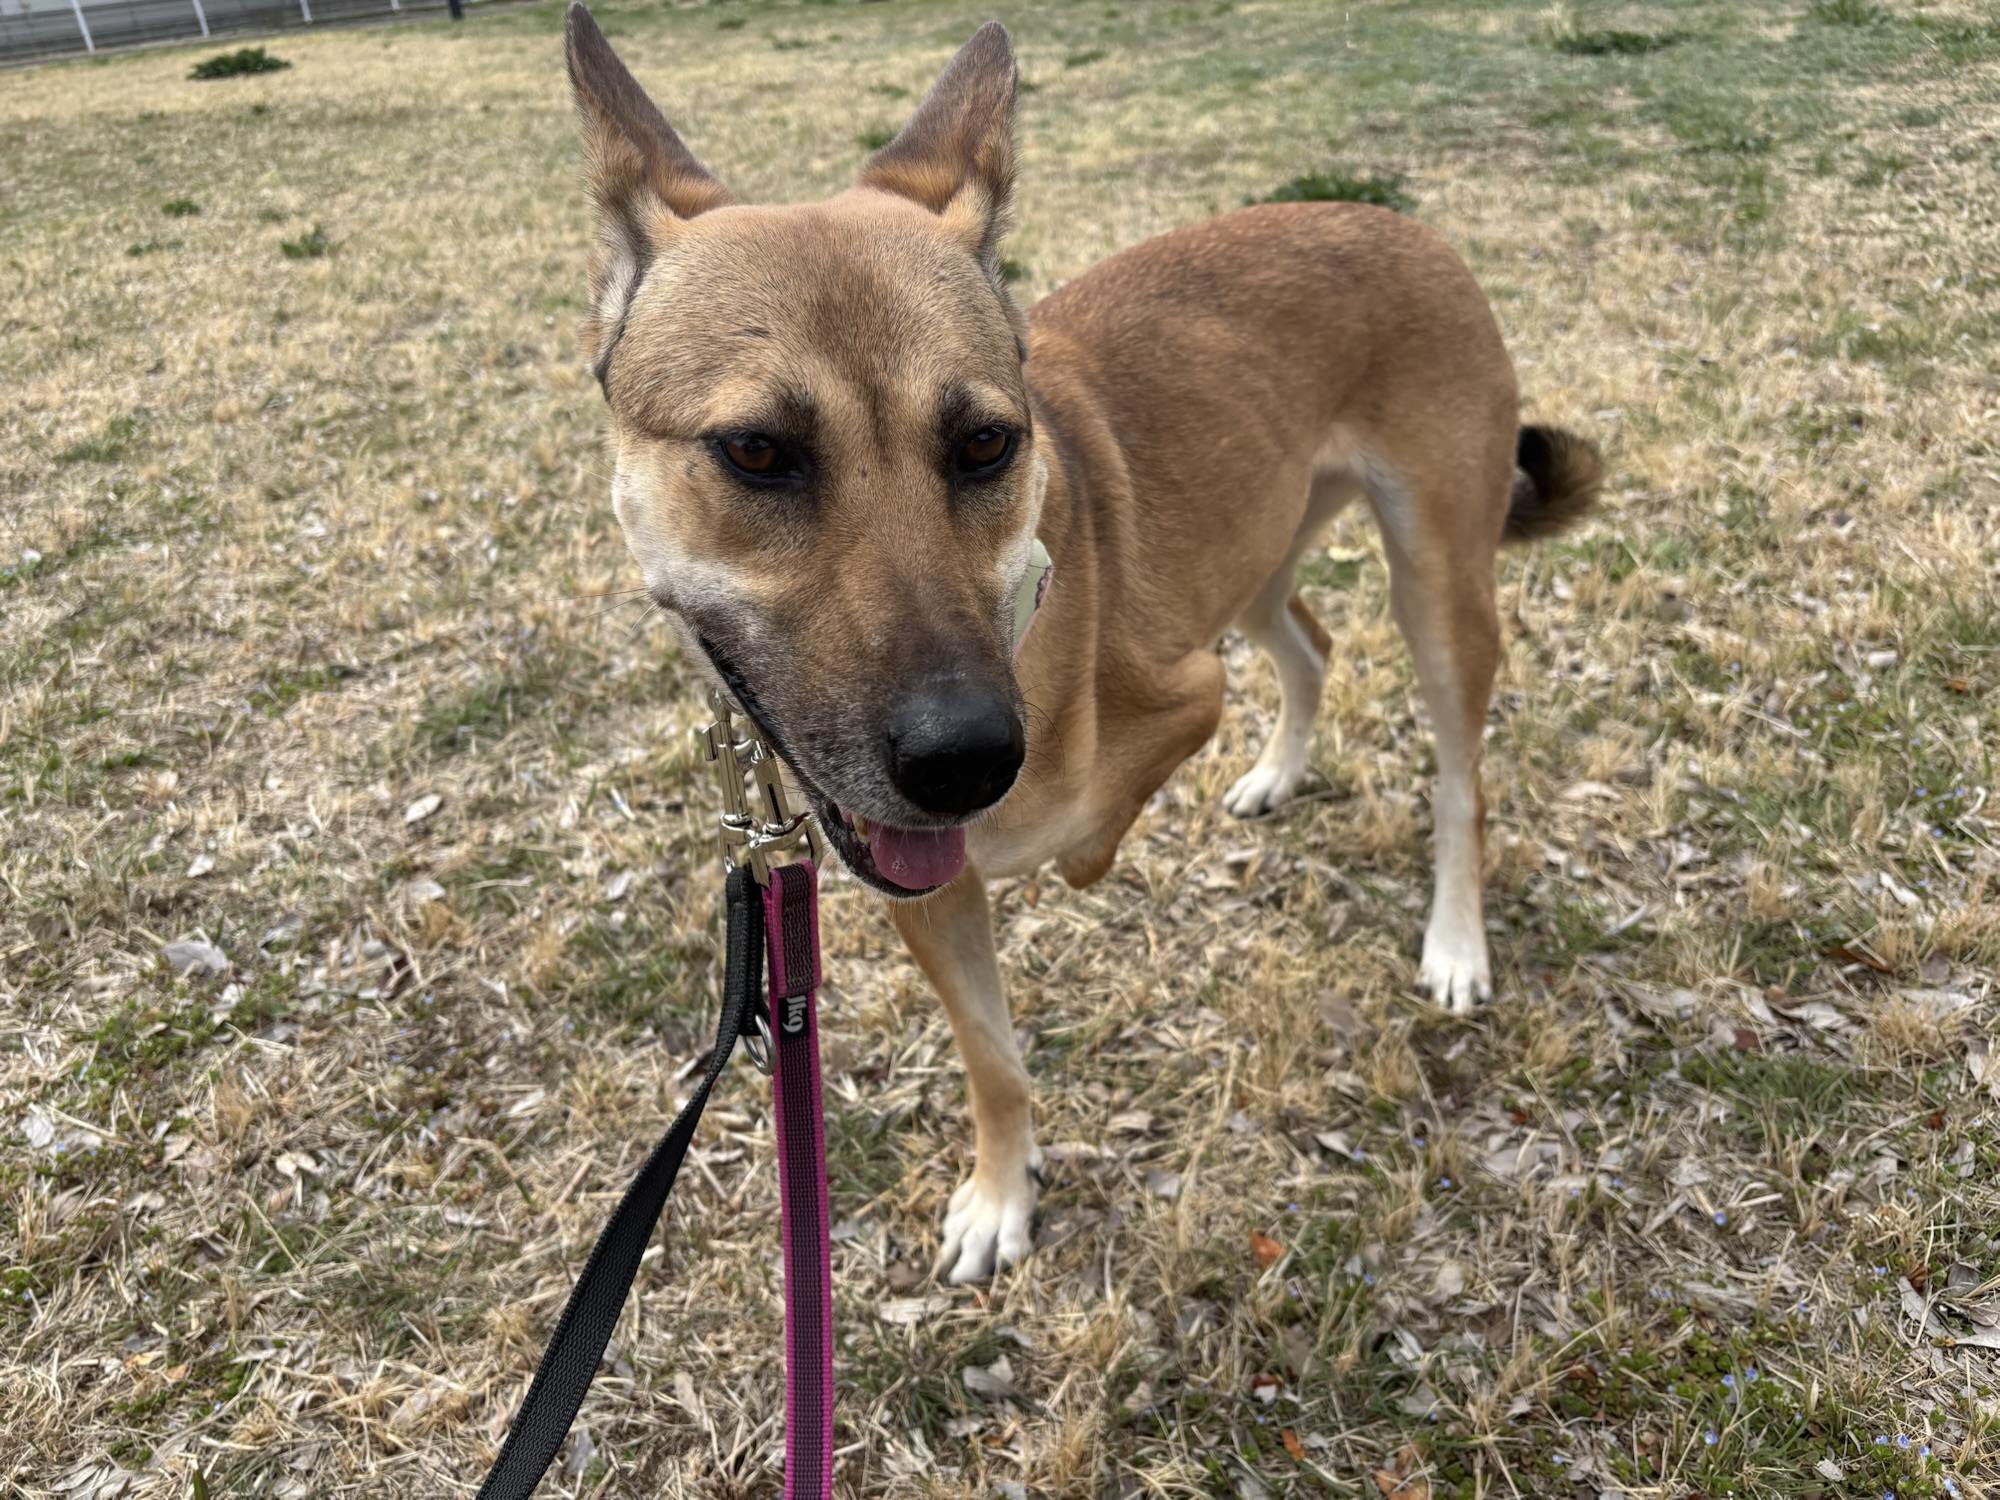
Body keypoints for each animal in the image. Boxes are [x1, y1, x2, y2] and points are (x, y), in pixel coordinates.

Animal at [561, 6, 1600, 1284]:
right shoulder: (920, 884)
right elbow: (992, 1058)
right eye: (755, 451)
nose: (963, 760)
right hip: (1250, 547)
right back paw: (1274, 775)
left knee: (1458, 781)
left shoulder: (1181, 694)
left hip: (1436, 581)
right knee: (1307, 646)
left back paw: (1453, 940)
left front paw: (1076, 852)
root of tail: (1388, 216)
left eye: (985, 444)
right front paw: (1001, 1191)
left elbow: (1082, 829)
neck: (1021, 625)